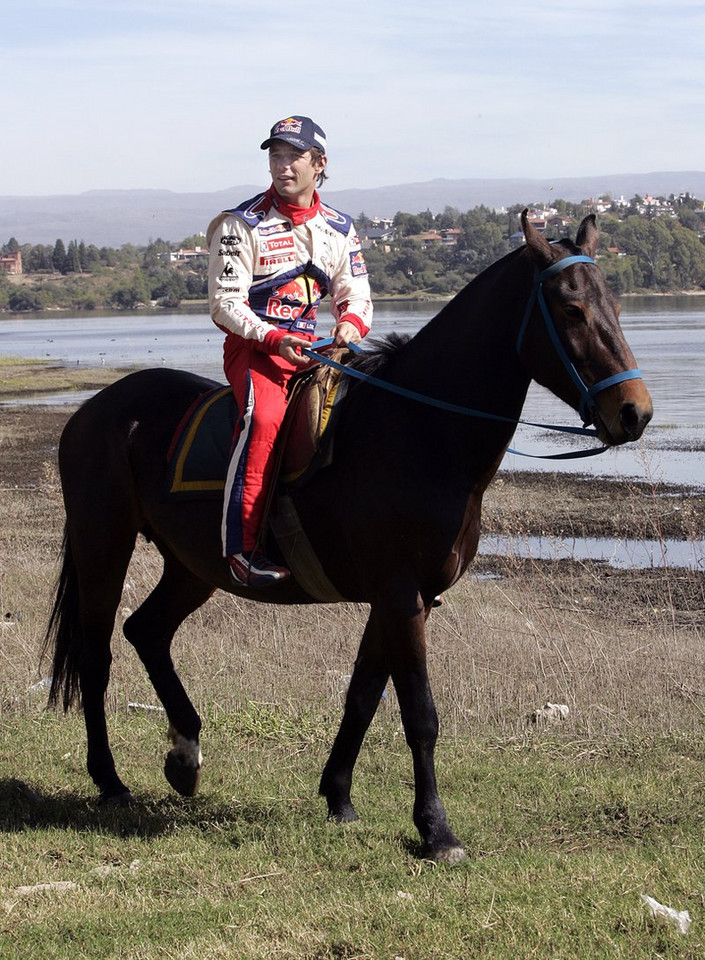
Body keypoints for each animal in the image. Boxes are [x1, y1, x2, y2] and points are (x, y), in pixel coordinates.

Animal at [42, 216, 648, 864]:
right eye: (571, 309)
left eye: (615, 304)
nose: (634, 412)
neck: (419, 432)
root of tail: (96, 410)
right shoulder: (401, 594)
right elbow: (419, 714)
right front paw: (436, 830)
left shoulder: (404, 598)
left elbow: (362, 695)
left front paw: (338, 797)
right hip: (103, 543)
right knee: (97, 655)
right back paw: (110, 781)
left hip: (195, 566)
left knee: (147, 631)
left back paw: (185, 754)